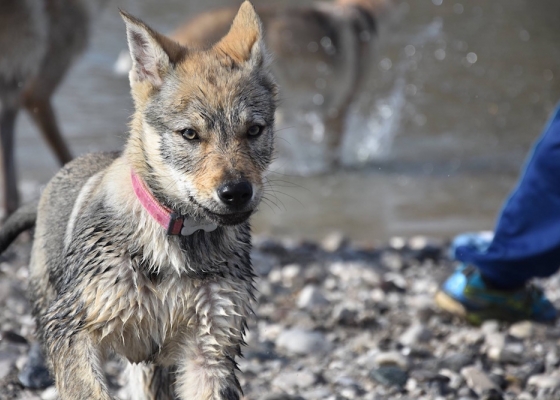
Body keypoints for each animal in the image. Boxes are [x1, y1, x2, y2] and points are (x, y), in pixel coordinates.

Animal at [0, 1, 278, 398]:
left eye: (254, 130)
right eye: (189, 134)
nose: (237, 192)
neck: (178, 241)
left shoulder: (210, 349)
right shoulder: (71, 326)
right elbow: (89, 390)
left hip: (152, 366)